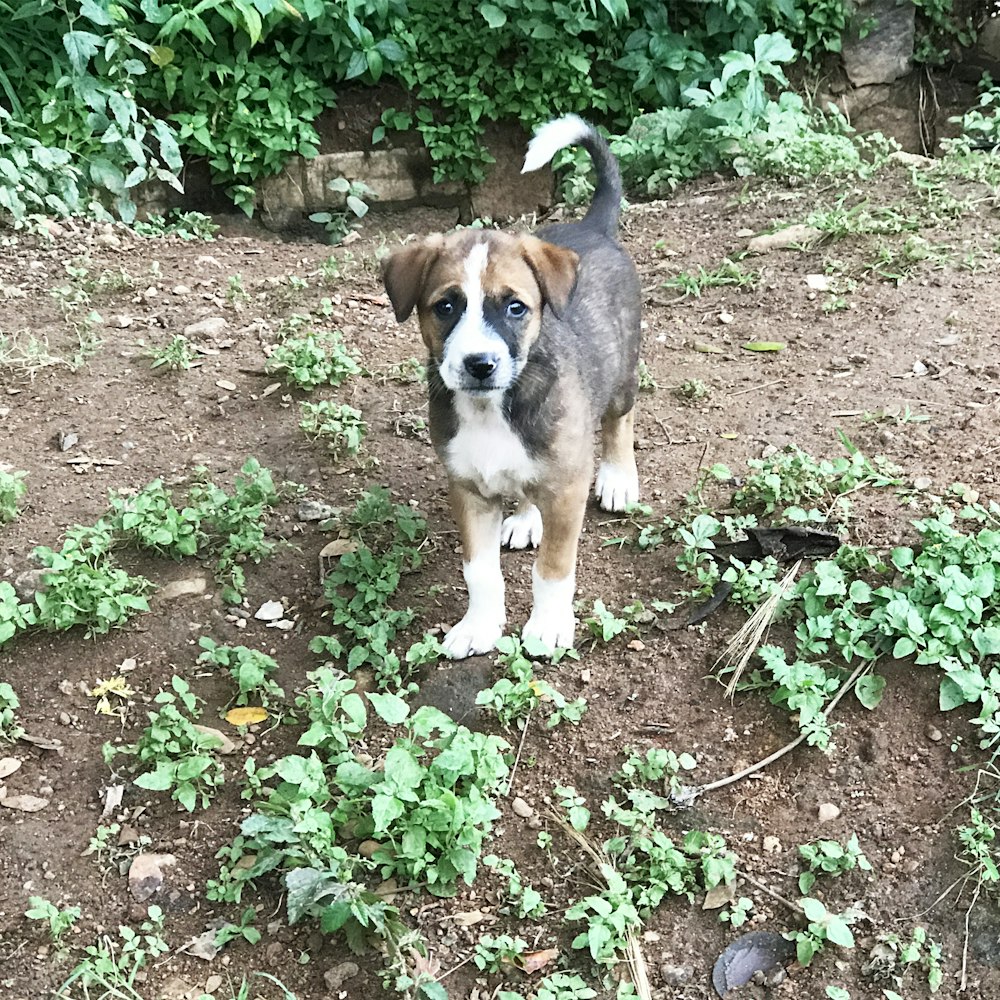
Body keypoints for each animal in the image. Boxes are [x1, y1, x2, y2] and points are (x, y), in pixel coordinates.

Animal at [382, 115, 640, 656]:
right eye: (446, 306)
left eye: (516, 307)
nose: (480, 363)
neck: (493, 409)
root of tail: (591, 227)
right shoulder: (467, 490)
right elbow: (480, 573)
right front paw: (479, 626)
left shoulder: (567, 487)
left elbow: (554, 570)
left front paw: (547, 626)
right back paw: (524, 518)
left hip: (622, 373)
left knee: (620, 419)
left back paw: (617, 478)